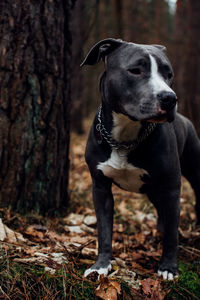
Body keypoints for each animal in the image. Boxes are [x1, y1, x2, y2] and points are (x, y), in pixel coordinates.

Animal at [80, 38, 200, 280]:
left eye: (168, 74)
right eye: (135, 70)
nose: (170, 98)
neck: (125, 136)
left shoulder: (172, 188)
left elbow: (172, 235)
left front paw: (168, 268)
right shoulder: (100, 188)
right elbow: (104, 231)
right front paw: (101, 265)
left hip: (194, 171)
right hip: (153, 190)